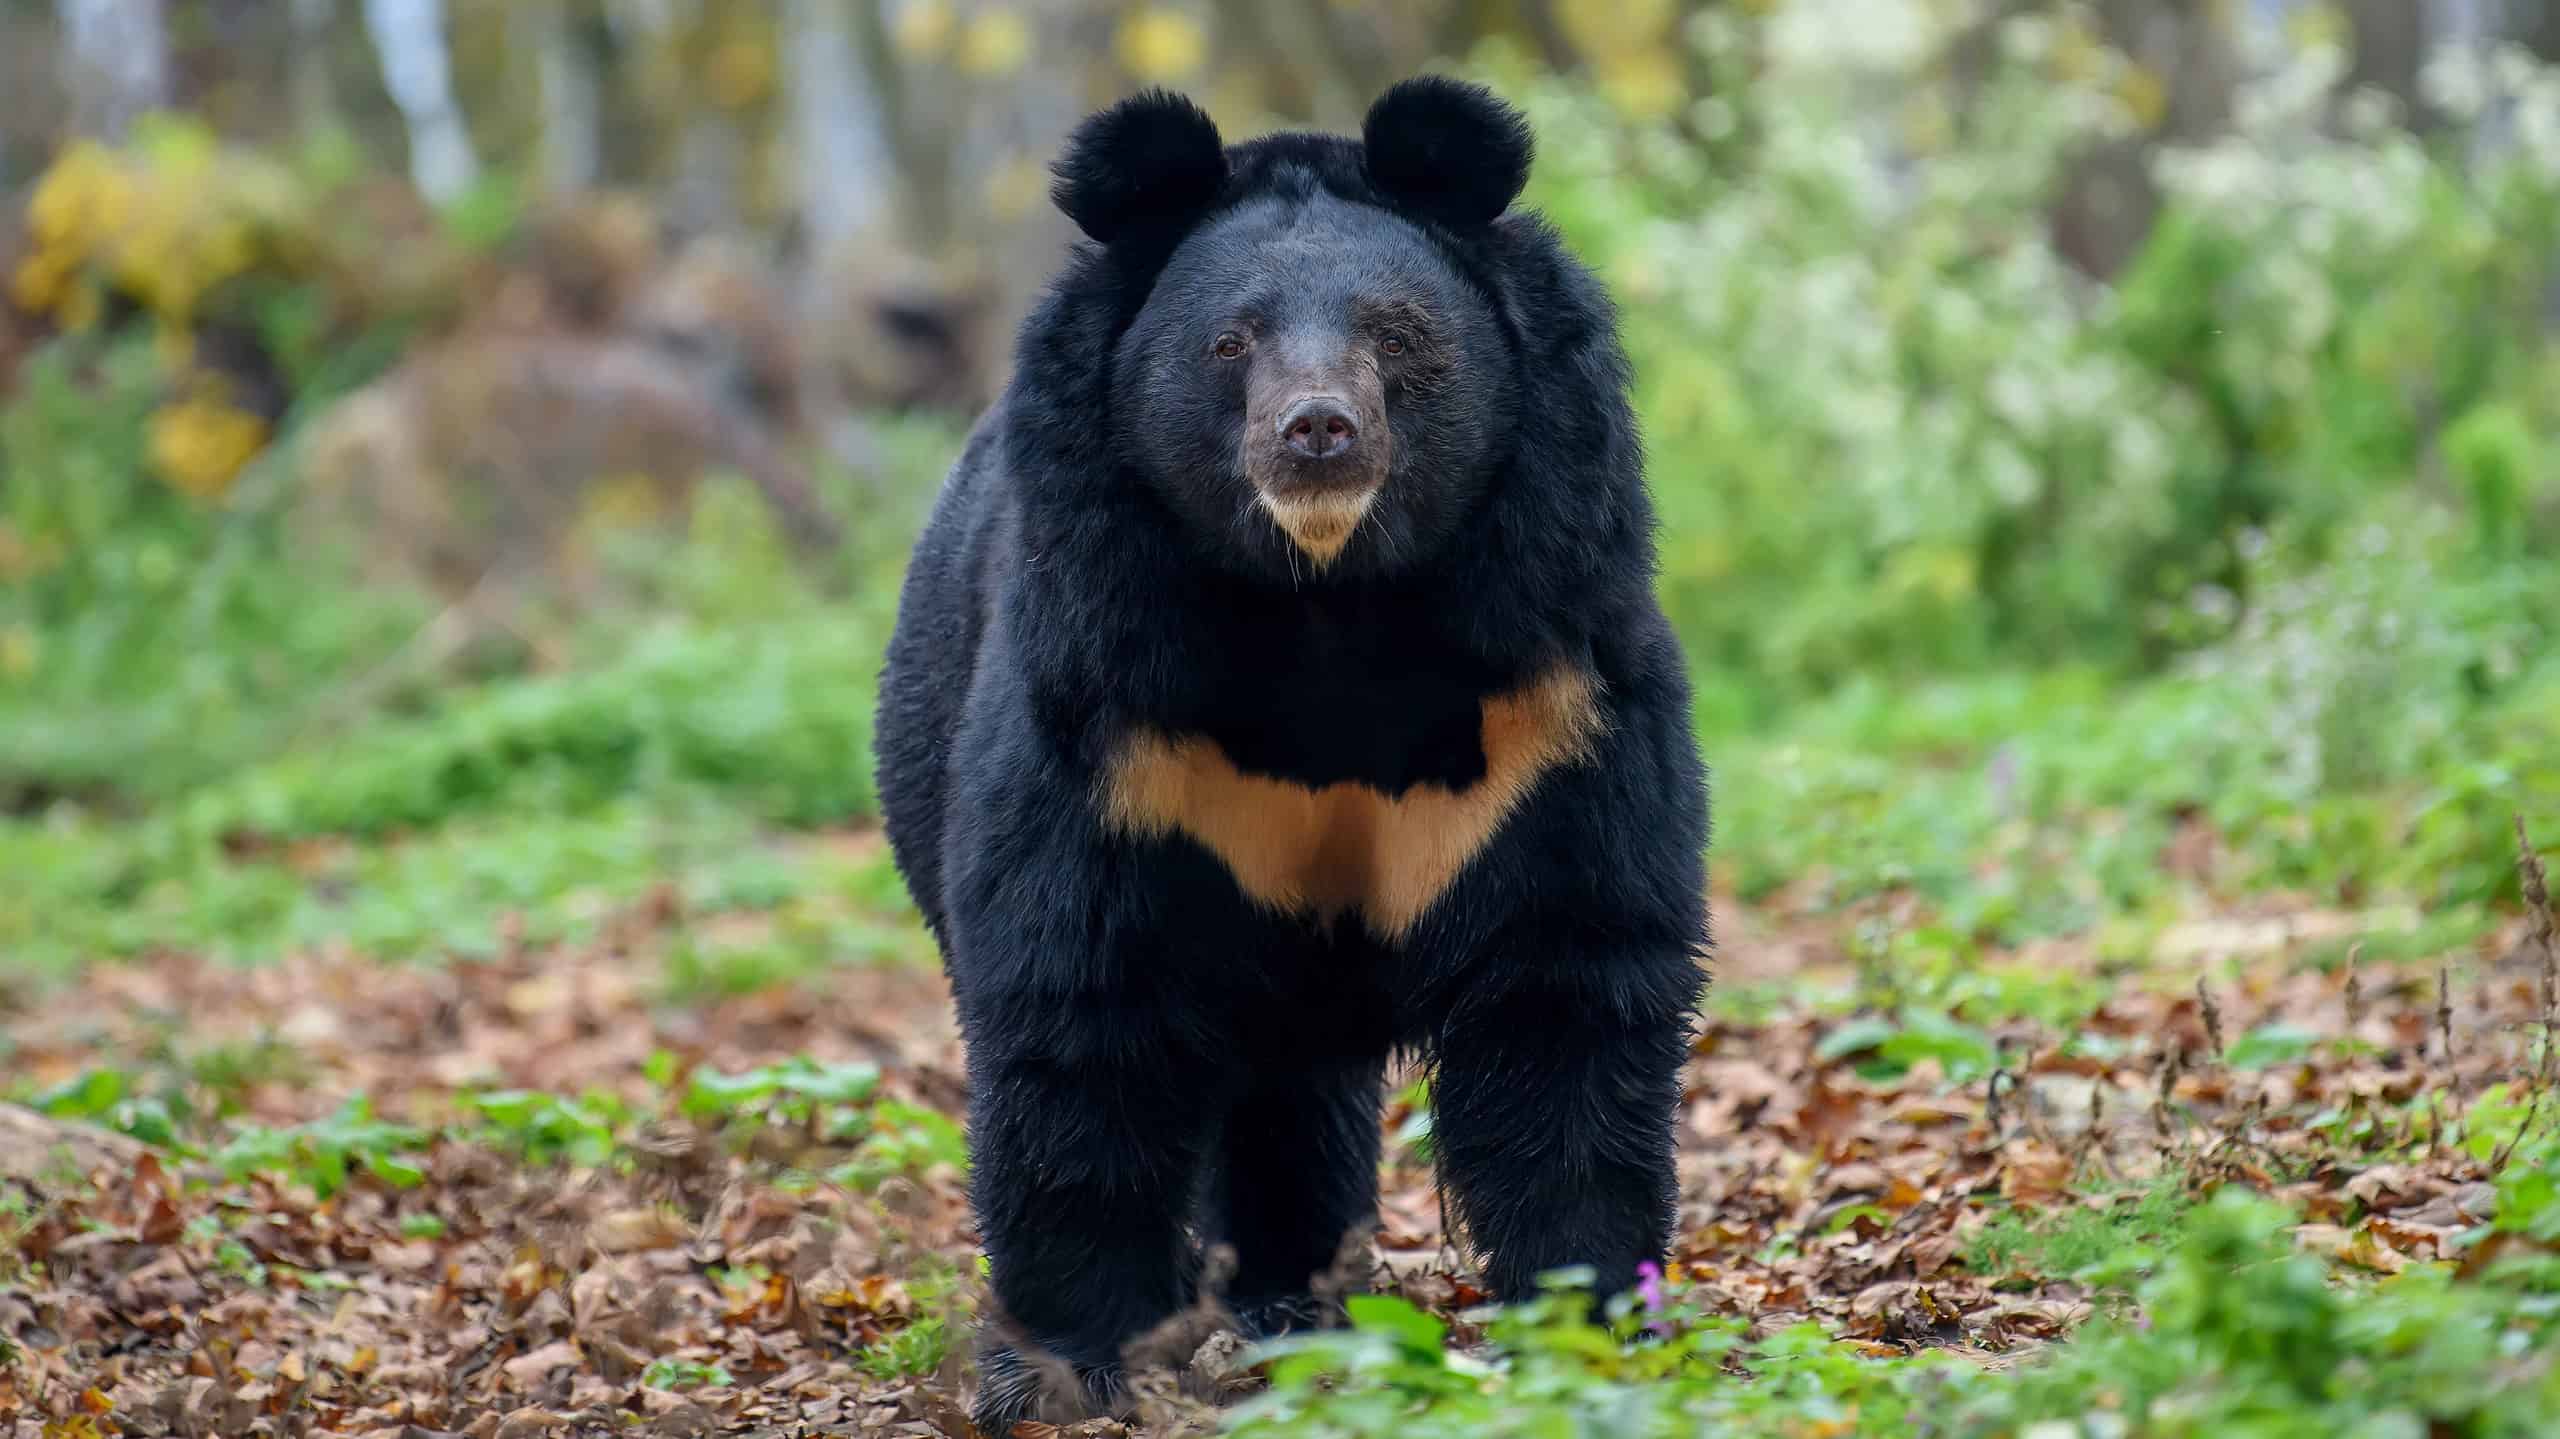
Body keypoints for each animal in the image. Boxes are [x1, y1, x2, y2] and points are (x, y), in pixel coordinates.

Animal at [870, 75, 1710, 1423]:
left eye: (1397, 333)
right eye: (1231, 342)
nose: (1317, 431)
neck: (1328, 602)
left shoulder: (1551, 688)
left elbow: (1567, 982)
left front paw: (1588, 1320)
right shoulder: (1113, 713)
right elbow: (1081, 1006)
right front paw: (1060, 1370)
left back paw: (1299, 1301)